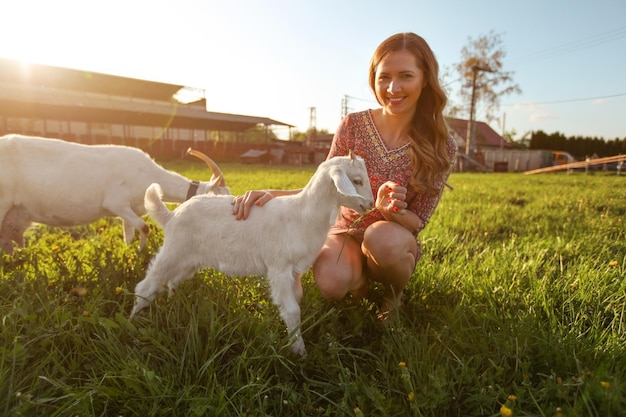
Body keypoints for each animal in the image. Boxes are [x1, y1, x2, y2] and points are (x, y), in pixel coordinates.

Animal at [0, 133, 229, 254]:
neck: (148, 173)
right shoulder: (116, 203)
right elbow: (144, 227)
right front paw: (141, 252)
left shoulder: (127, 210)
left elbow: (130, 233)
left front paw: (129, 252)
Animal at [130, 153, 372, 354]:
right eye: (357, 180)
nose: (369, 204)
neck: (302, 215)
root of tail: (171, 216)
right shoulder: (279, 268)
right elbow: (292, 309)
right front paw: (299, 352)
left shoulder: (294, 272)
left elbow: (296, 302)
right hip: (173, 251)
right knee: (146, 285)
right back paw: (133, 321)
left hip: (187, 261)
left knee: (171, 281)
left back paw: (170, 302)